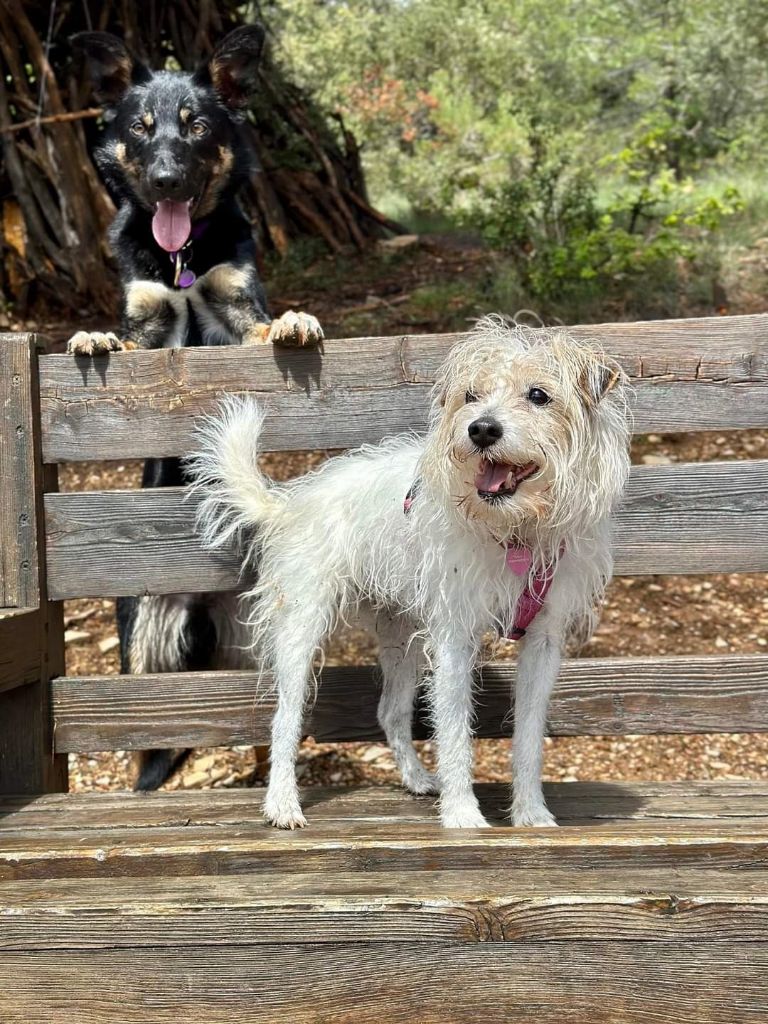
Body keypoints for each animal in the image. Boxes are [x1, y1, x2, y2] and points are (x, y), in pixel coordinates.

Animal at [72, 25, 321, 790]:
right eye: (140, 129)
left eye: (198, 127)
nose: (165, 182)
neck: (180, 260)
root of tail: (203, 606)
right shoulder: (148, 324)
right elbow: (123, 337)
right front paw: (92, 335)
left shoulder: (236, 311)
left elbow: (267, 326)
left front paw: (297, 321)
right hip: (144, 653)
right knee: (157, 740)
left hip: (260, 645)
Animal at [191, 319, 630, 831]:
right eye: (471, 395)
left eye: (539, 395)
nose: (481, 428)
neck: (516, 528)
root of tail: (290, 501)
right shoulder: (455, 635)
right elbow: (455, 729)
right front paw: (462, 815)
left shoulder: (542, 640)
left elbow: (528, 736)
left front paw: (530, 813)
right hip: (301, 628)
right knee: (285, 720)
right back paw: (282, 803)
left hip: (401, 639)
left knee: (391, 712)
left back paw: (417, 778)